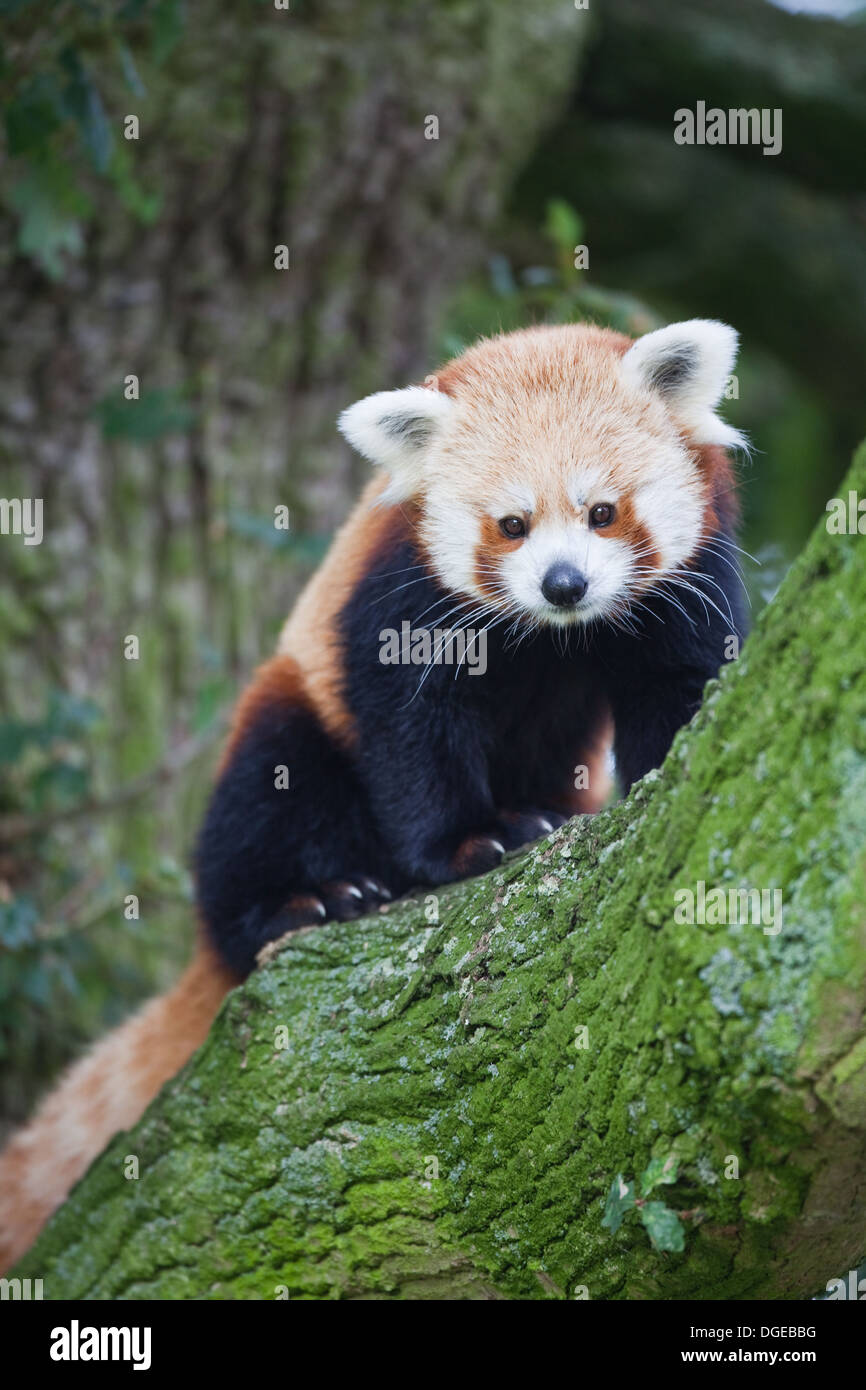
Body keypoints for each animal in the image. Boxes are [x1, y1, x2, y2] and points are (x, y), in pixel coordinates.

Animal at [0, 318, 745, 1273]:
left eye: (603, 512)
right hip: (283, 722)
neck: (554, 637)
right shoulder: (396, 595)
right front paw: (466, 844)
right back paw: (303, 902)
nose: (565, 584)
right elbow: (408, 733)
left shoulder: (692, 576)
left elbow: (679, 680)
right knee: (265, 796)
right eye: (511, 525)